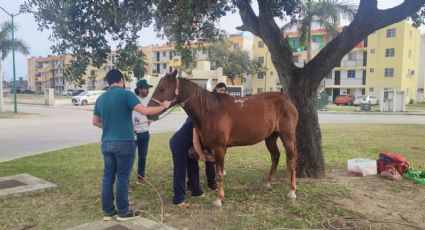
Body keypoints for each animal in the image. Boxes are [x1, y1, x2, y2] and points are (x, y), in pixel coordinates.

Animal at [147, 70, 296, 207]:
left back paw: (292, 192)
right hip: (270, 137)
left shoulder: (218, 148)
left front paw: (218, 199)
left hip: (287, 136)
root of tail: (286, 99)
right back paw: (268, 184)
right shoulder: (209, 148)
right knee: (275, 156)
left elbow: (218, 174)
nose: (149, 113)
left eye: (162, 89)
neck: (211, 111)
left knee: (291, 160)